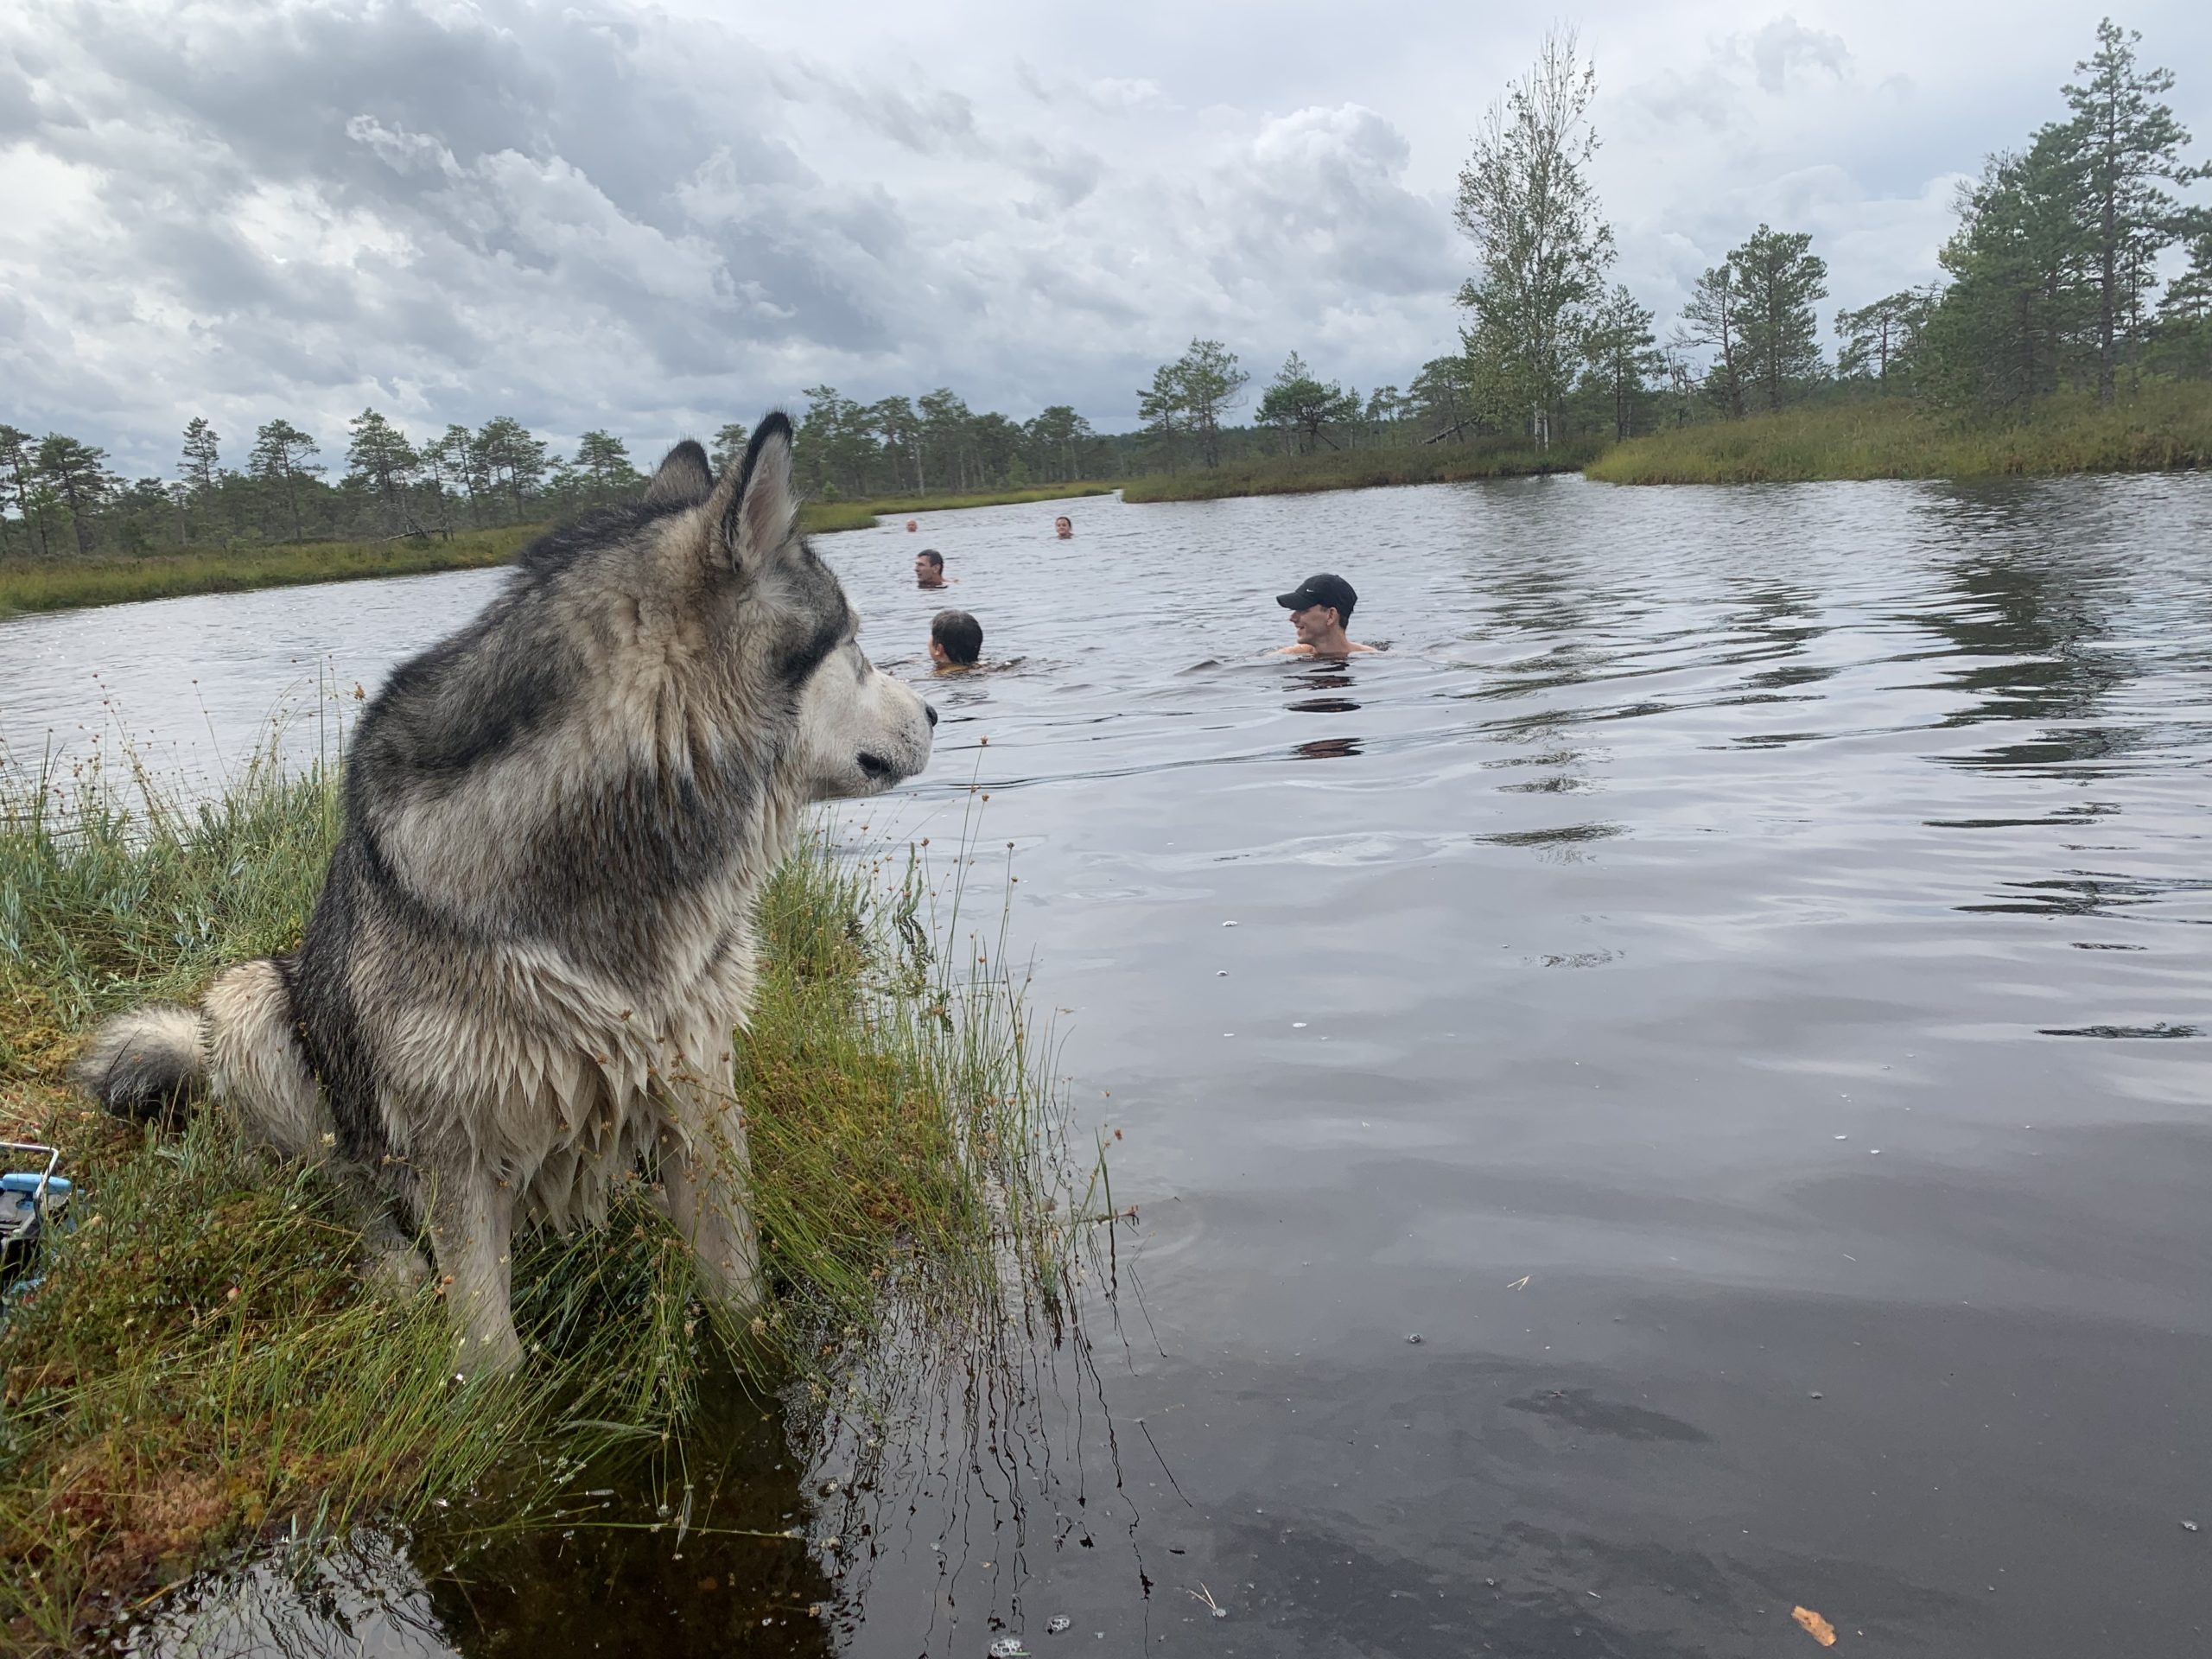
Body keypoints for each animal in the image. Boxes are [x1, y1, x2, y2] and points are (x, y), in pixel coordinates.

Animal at [75, 416, 933, 1380]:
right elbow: (488, 1358)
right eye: (854, 644)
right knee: (344, 1183)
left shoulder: (699, 1088)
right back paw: (391, 1265)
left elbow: (737, 1291)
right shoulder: (453, 1147)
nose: (936, 716)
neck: (605, 855)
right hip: (255, 1002)